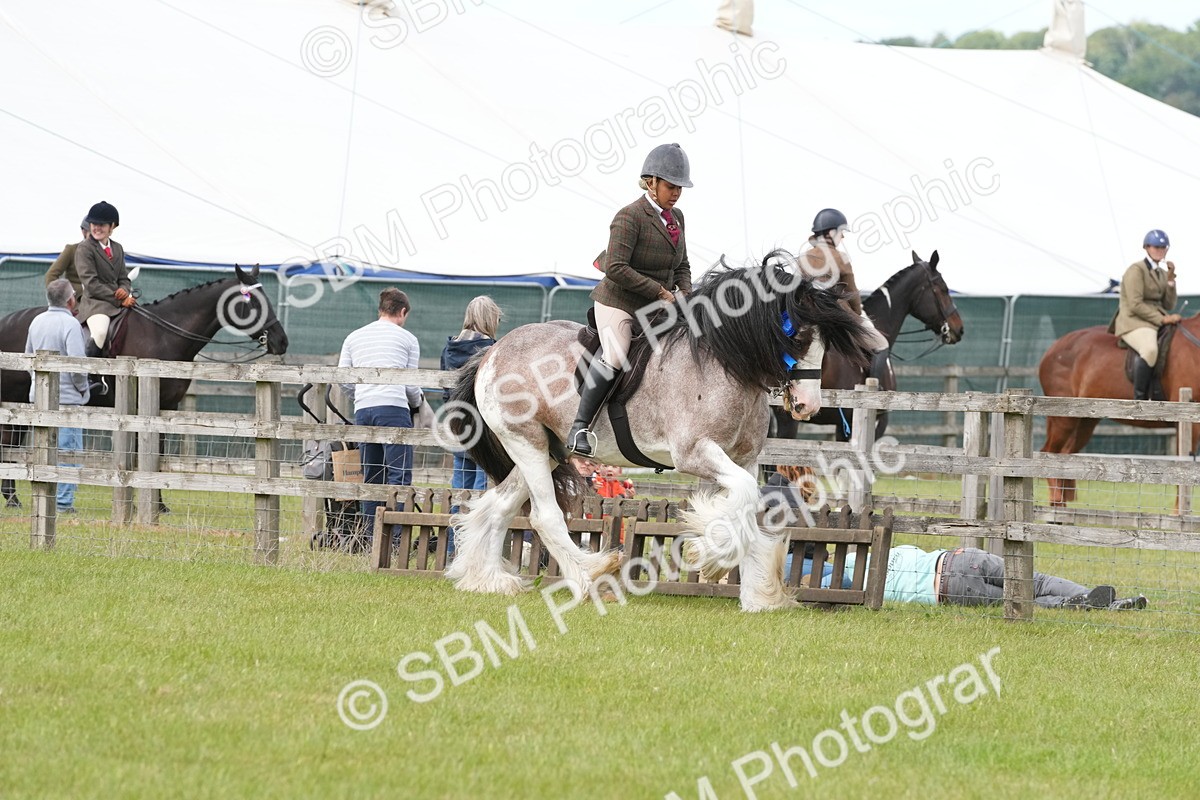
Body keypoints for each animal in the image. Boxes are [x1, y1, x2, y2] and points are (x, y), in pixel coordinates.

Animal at [0, 264, 288, 505]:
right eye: (254, 303)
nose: (281, 341)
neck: (164, 334)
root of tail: (6, 321)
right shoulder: (141, 407)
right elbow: (142, 454)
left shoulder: (165, 407)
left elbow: (157, 454)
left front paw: (158, 505)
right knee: (8, 442)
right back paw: (12, 499)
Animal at [443, 262, 876, 612]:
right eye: (797, 337)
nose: (807, 406)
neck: (726, 364)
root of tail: (494, 351)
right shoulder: (695, 453)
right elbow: (744, 494)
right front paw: (710, 553)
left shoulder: (744, 458)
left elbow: (748, 505)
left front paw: (759, 596)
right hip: (526, 442)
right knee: (544, 516)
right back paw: (591, 579)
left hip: (545, 450)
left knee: (499, 508)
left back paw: (488, 580)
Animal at [1039, 316, 1200, 506]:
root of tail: (1052, 348)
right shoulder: (1188, 423)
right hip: (1063, 419)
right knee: (1050, 452)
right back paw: (1056, 503)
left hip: (1084, 422)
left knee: (1064, 455)